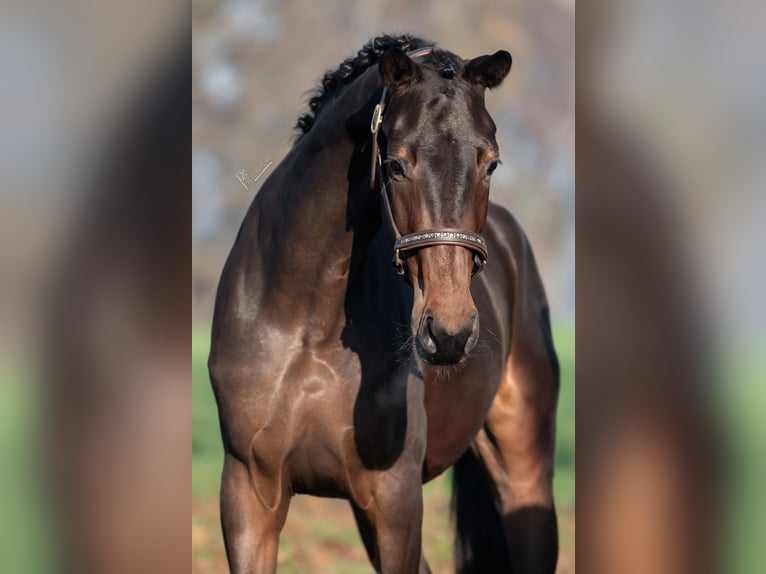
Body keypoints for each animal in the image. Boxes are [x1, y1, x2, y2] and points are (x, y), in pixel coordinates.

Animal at [209, 34, 560, 573]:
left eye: (491, 162)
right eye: (395, 164)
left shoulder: (395, 499)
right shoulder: (249, 493)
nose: (449, 333)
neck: (304, 324)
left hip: (524, 476)